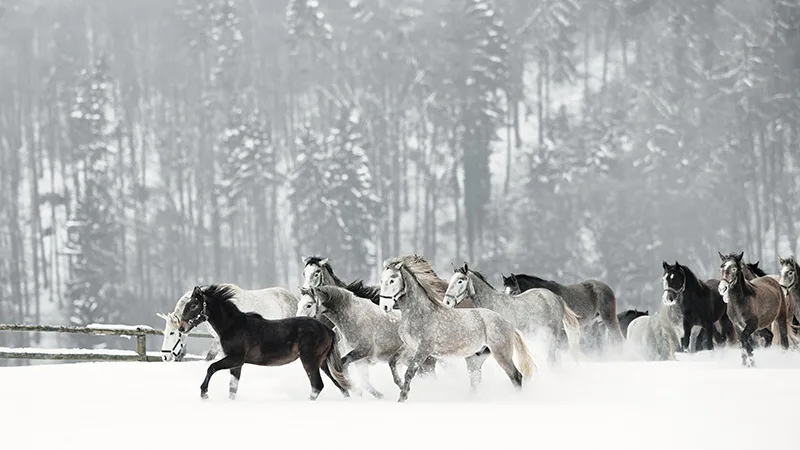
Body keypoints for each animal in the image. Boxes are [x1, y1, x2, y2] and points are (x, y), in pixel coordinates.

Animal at [180, 284, 352, 400]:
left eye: (194, 305)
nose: (181, 327)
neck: (233, 326)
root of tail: (328, 330)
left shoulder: (235, 359)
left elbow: (211, 367)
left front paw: (204, 393)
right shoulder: (237, 364)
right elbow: (232, 388)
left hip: (309, 361)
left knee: (317, 386)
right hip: (322, 362)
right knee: (339, 384)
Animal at [382, 255, 536, 402]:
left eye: (392, 280)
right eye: (381, 279)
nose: (384, 306)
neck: (419, 312)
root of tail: (508, 324)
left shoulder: (423, 349)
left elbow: (410, 372)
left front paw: (402, 397)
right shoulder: (410, 346)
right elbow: (392, 362)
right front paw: (401, 386)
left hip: (501, 354)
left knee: (516, 377)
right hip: (475, 359)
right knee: (476, 381)